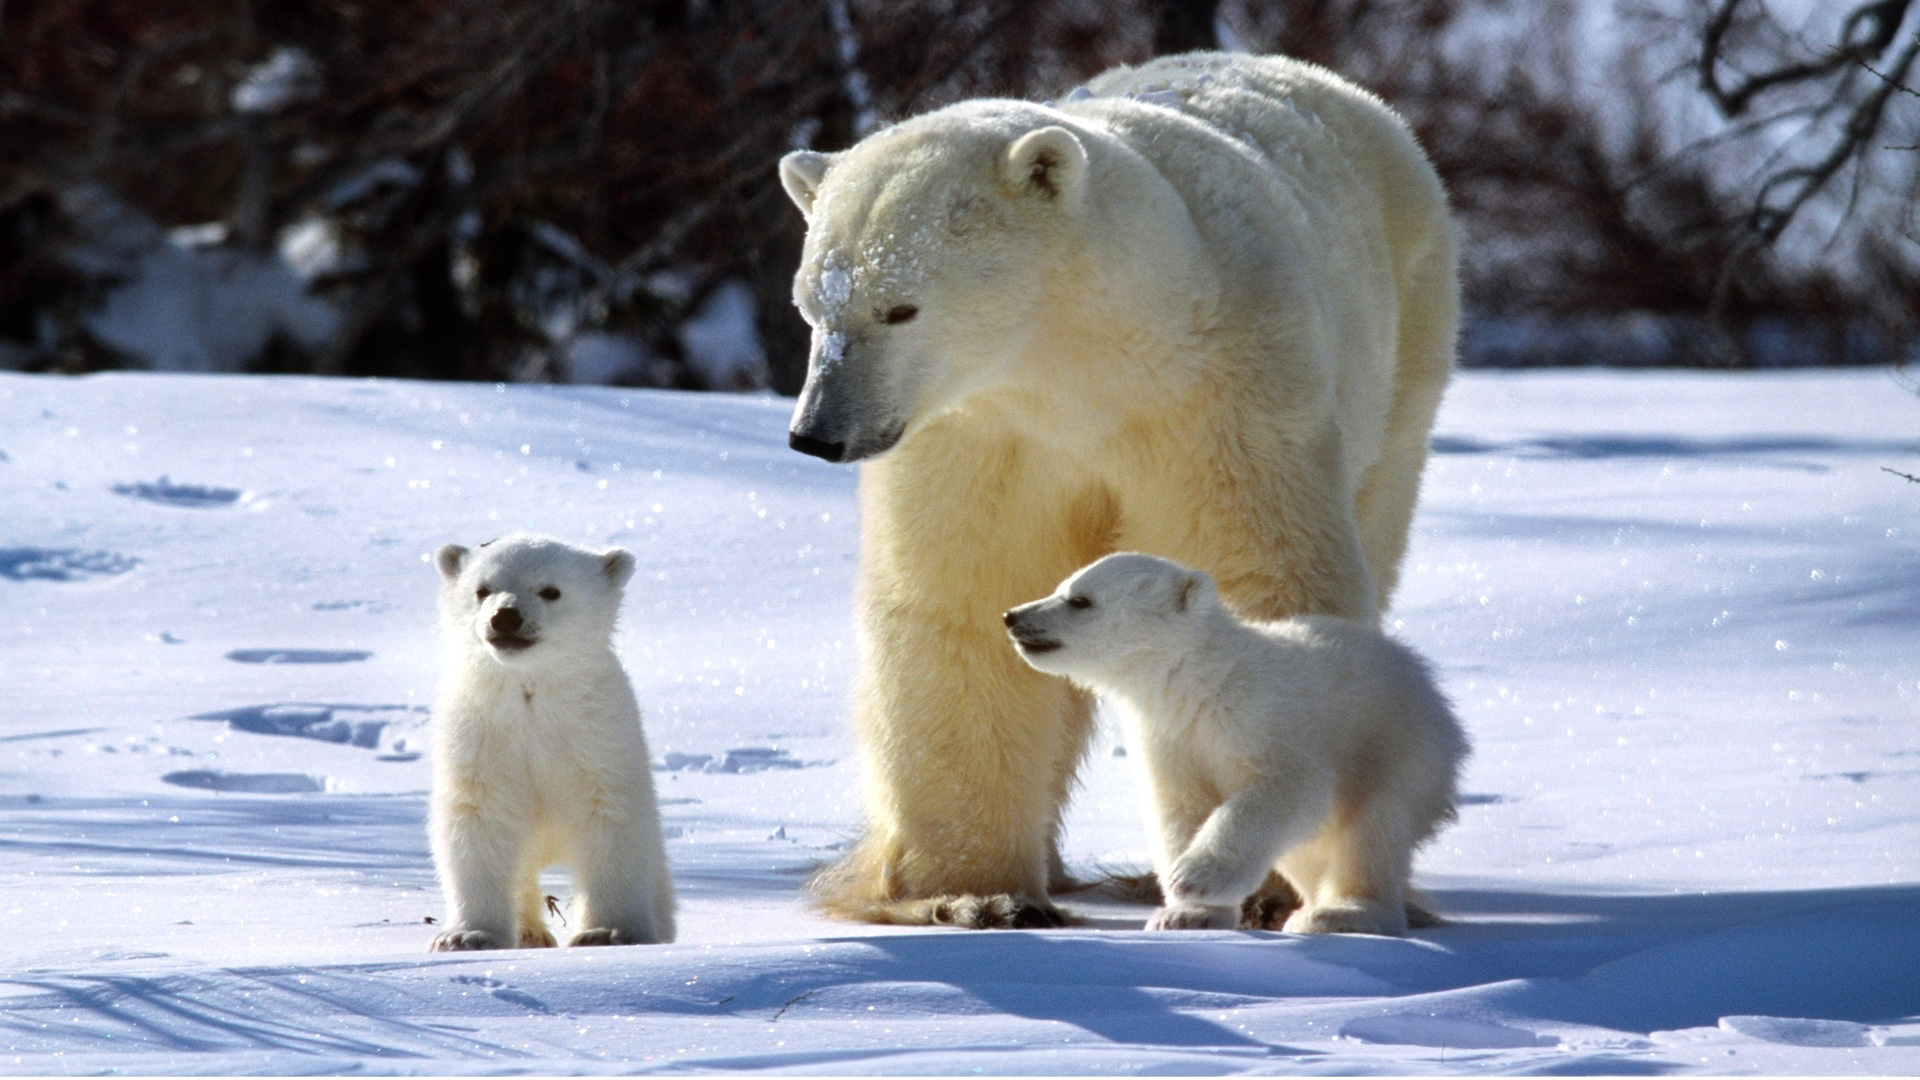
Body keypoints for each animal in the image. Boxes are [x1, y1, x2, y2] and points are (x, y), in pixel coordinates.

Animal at [779, 52, 1451, 926]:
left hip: (1406, 349)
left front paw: (1261, 889)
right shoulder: (982, 433)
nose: (818, 433)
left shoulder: (1216, 397)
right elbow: (963, 596)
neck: (1085, 365)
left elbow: (1255, 569)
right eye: (810, 306)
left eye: (900, 307)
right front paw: (973, 893)